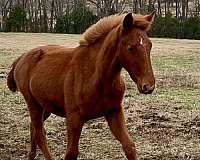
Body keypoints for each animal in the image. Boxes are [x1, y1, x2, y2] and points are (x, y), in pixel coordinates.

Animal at [7, 11, 155, 160]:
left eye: (150, 45)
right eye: (130, 47)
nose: (148, 86)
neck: (97, 77)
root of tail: (21, 58)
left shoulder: (114, 112)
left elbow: (129, 146)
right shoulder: (74, 118)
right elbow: (71, 153)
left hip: (45, 105)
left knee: (33, 128)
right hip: (32, 103)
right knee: (39, 134)